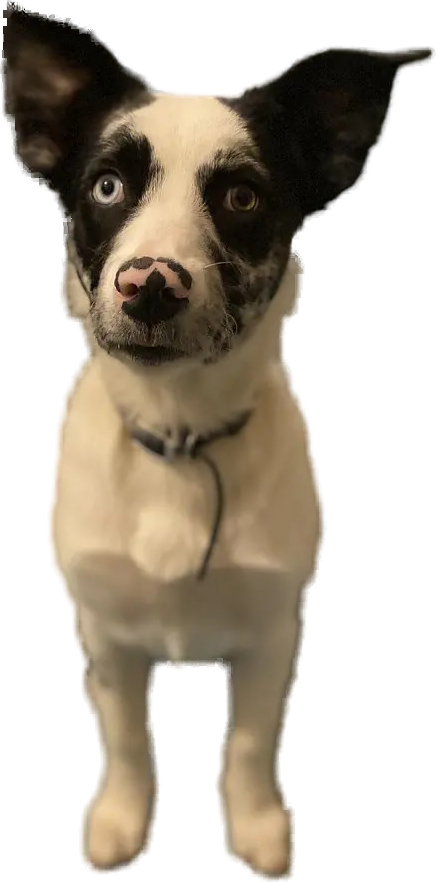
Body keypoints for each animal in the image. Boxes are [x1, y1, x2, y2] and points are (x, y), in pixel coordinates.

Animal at [4, 3, 407, 874]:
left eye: (242, 196)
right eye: (108, 185)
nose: (150, 285)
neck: (179, 436)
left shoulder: (268, 636)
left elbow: (248, 747)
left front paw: (253, 829)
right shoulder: (108, 634)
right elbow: (125, 740)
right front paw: (120, 821)